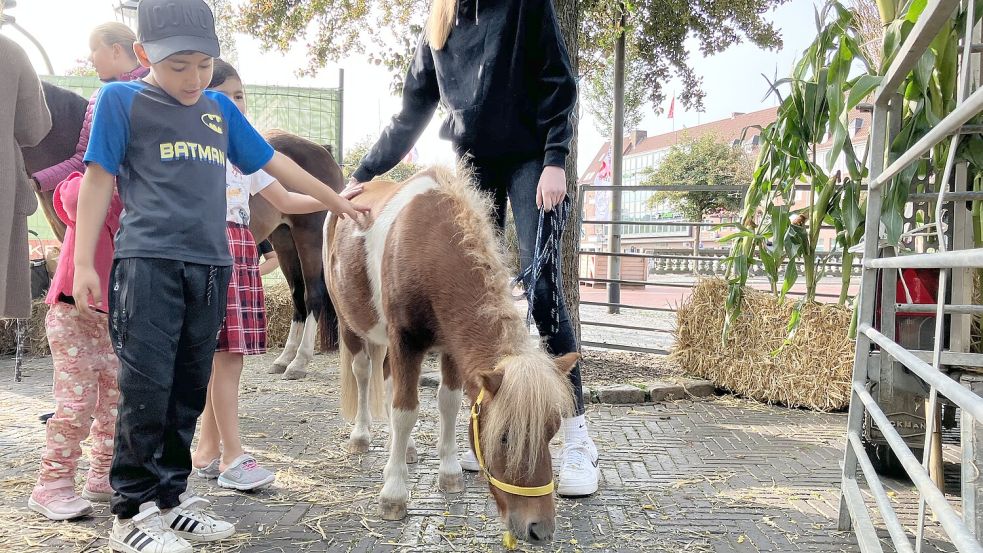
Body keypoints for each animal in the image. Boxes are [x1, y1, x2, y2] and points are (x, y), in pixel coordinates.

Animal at [326, 165, 580, 544]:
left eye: (551, 432)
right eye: (504, 437)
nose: (540, 529)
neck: (428, 246)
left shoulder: (450, 347)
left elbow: (447, 403)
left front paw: (449, 473)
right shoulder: (405, 341)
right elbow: (405, 411)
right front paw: (394, 493)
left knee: (389, 383)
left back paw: (407, 450)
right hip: (351, 326)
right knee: (364, 374)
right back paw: (361, 436)